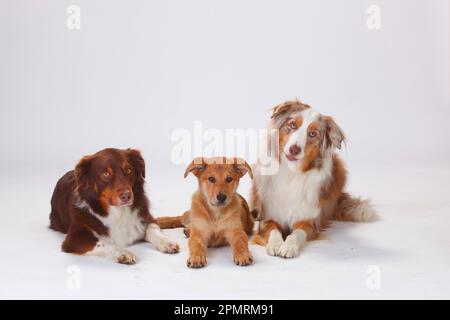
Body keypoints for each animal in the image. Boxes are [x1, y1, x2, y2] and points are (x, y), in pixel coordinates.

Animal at [50, 149, 180, 264]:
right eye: (105, 174)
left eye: (128, 170)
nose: (126, 196)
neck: (118, 212)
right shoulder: (73, 238)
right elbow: (105, 243)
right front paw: (123, 252)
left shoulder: (145, 217)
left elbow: (155, 230)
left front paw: (167, 242)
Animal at [251, 101, 378, 258]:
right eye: (293, 125)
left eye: (312, 134)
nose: (294, 149)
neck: (291, 174)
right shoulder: (268, 217)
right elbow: (273, 231)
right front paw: (275, 244)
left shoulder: (308, 222)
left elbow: (297, 234)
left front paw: (288, 246)